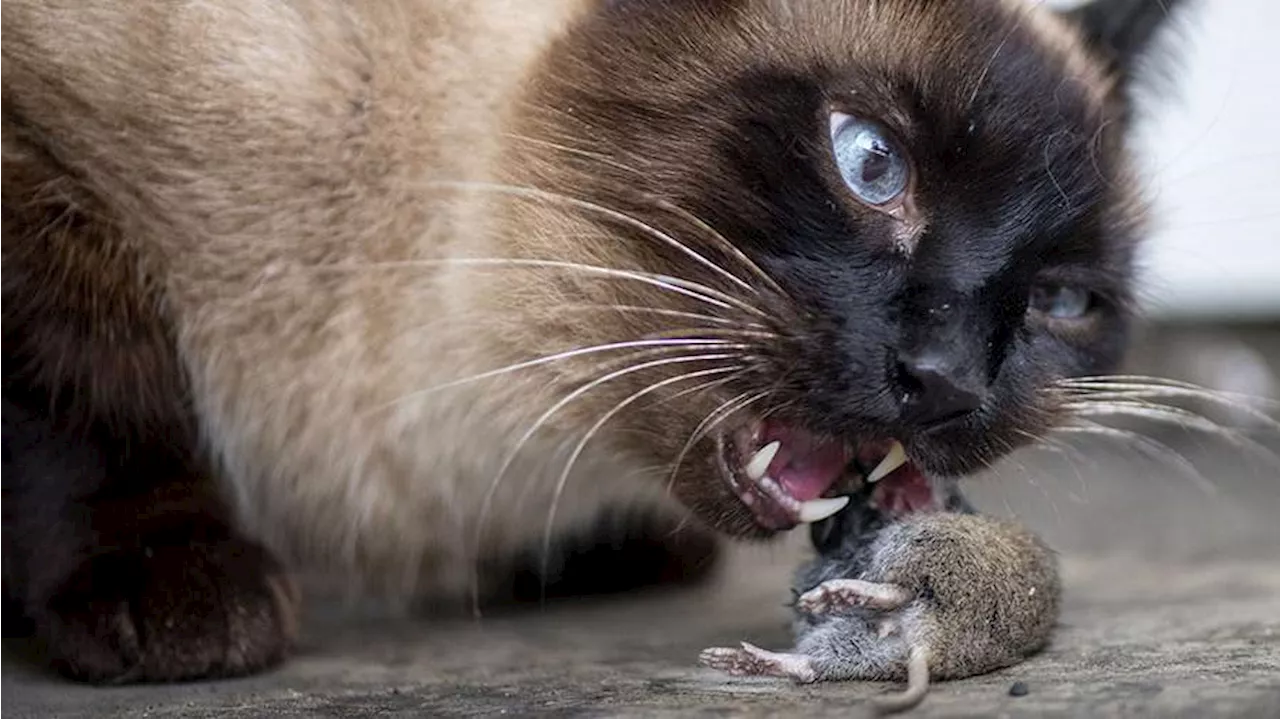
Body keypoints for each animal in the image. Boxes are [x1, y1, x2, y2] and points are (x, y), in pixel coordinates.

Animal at [0, 0, 1182, 680]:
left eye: (1061, 302)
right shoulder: (44, 156)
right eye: (870, 161)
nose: (948, 382)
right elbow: (83, 393)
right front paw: (175, 591)